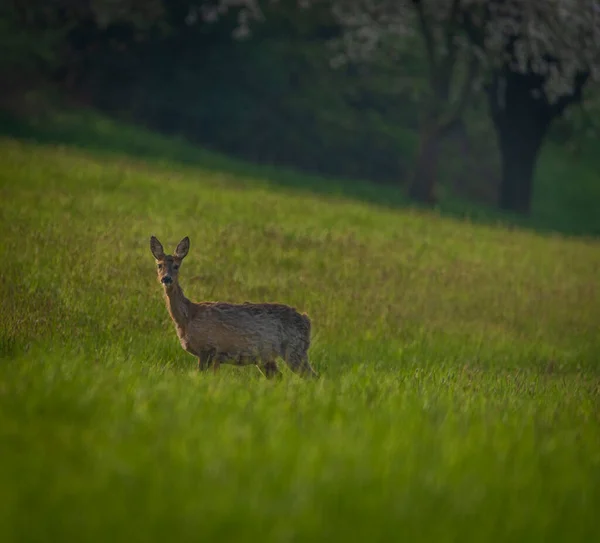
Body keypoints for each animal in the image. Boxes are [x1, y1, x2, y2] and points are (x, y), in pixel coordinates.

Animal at [150, 236, 318, 380]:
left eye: (176, 266)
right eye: (159, 265)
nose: (166, 278)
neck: (188, 317)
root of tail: (306, 320)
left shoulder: (208, 348)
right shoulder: (216, 356)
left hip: (294, 348)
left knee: (313, 376)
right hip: (266, 358)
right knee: (280, 377)